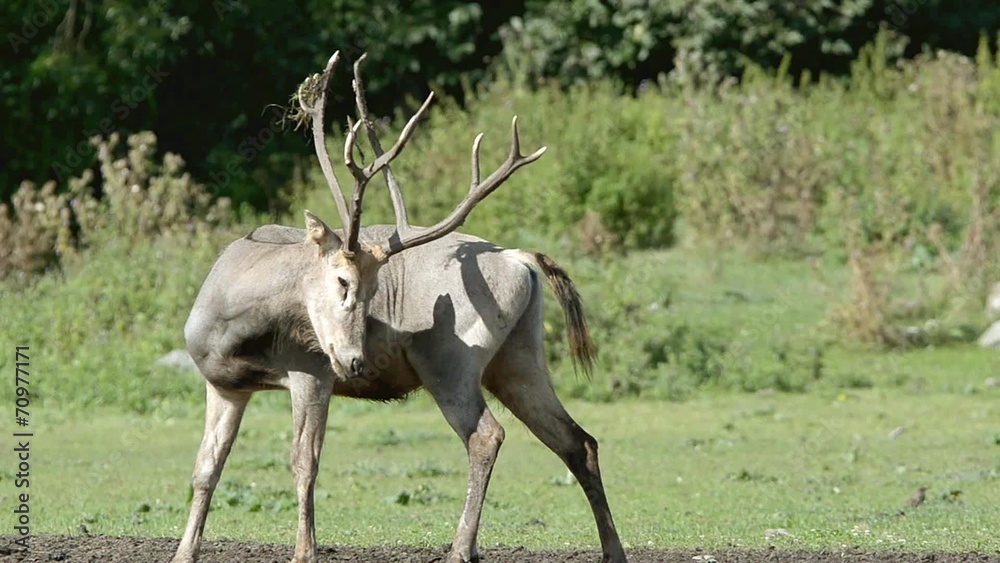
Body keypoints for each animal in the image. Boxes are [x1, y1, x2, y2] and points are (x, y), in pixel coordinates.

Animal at [171, 51, 628, 563]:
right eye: (343, 281)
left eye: (374, 293)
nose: (355, 361)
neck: (231, 327)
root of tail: (520, 259)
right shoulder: (223, 383)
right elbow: (206, 466)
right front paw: (183, 552)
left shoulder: (311, 371)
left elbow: (304, 462)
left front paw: (305, 551)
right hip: (520, 357)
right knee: (577, 439)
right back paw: (612, 549)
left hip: (451, 357)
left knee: (487, 435)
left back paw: (460, 549)